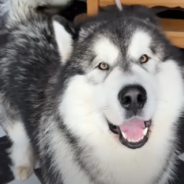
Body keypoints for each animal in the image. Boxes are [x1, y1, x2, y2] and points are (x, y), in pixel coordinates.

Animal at [0, 0, 184, 184]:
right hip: (15, 122)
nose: (133, 97)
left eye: (143, 58)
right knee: (20, 142)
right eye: (102, 66)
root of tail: (25, 22)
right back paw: (23, 165)